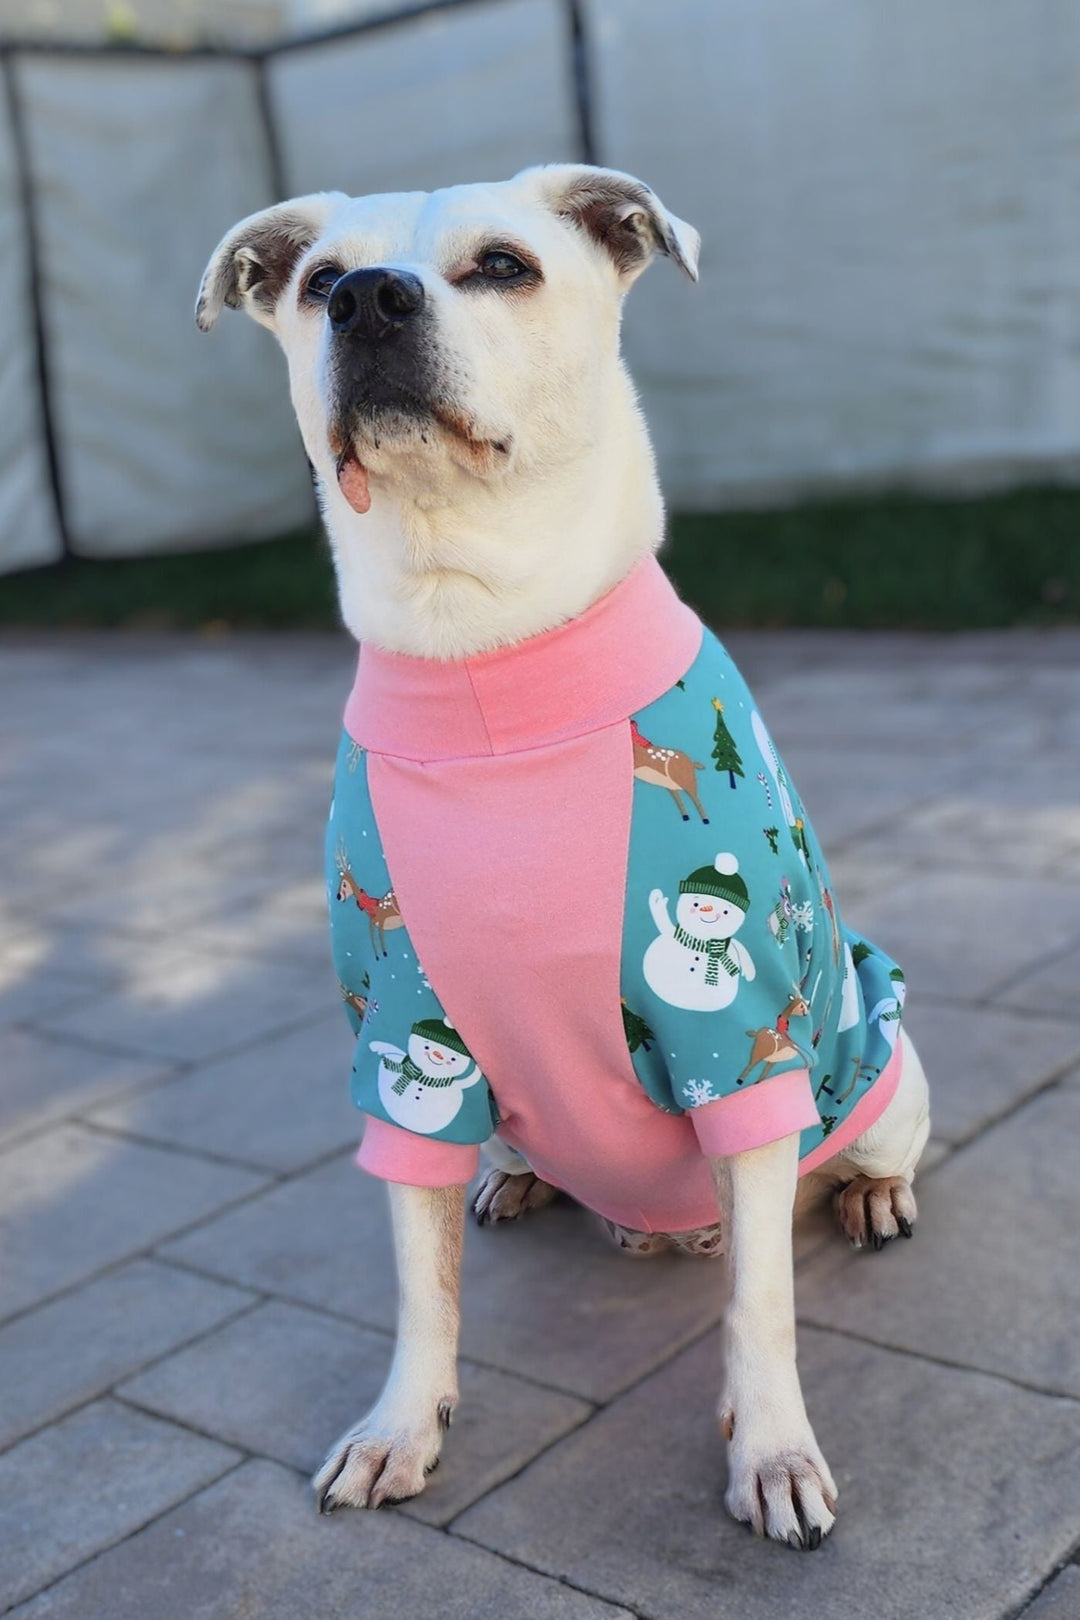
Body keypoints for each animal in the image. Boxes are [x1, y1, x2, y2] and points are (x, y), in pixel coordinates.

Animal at [196, 167, 932, 1555]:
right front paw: (401, 1426)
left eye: (503, 265)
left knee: (861, 1156)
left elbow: (763, 1305)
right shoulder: (399, 1038)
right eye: (320, 281)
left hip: (879, 1039)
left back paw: (869, 1195)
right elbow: (421, 1284)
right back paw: (519, 1181)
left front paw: (772, 1453)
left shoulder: (737, 1041)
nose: (371, 301)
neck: (486, 654)